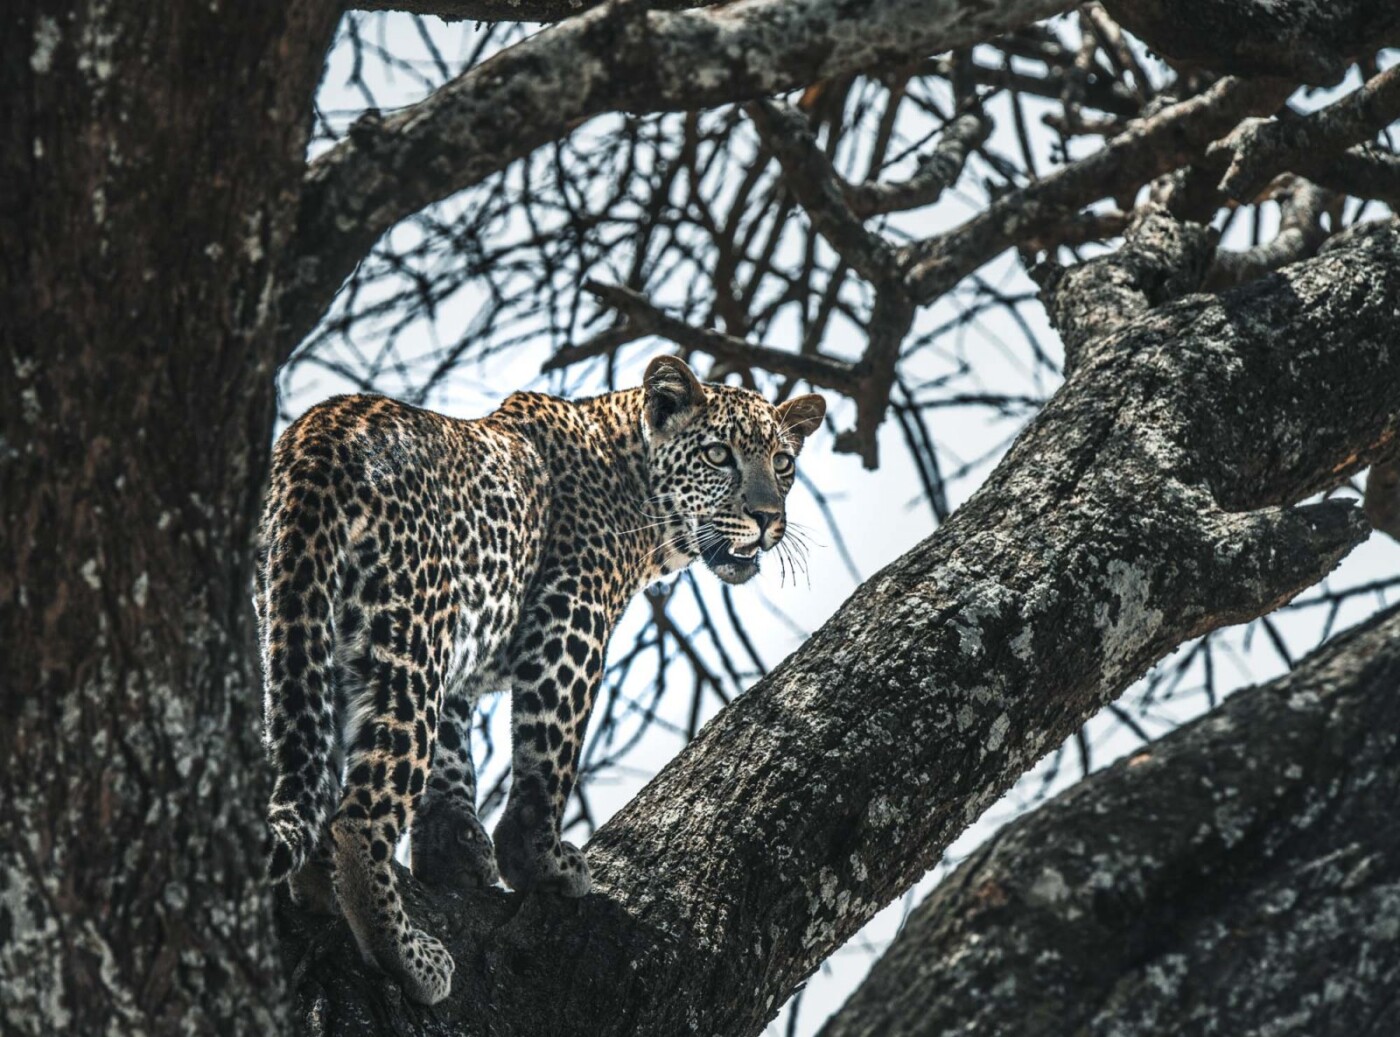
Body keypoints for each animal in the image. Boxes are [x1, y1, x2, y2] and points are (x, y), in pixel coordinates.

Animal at [254, 354, 817, 1002]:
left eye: (783, 464)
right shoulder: (572, 616)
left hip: (298, 631)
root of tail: (318, 435)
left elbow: (453, 755)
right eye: (719, 455)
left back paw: (316, 890)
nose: (768, 518)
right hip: (409, 638)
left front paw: (456, 854)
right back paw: (405, 956)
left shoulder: (463, 651)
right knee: (357, 815)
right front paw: (540, 862)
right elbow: (549, 754)